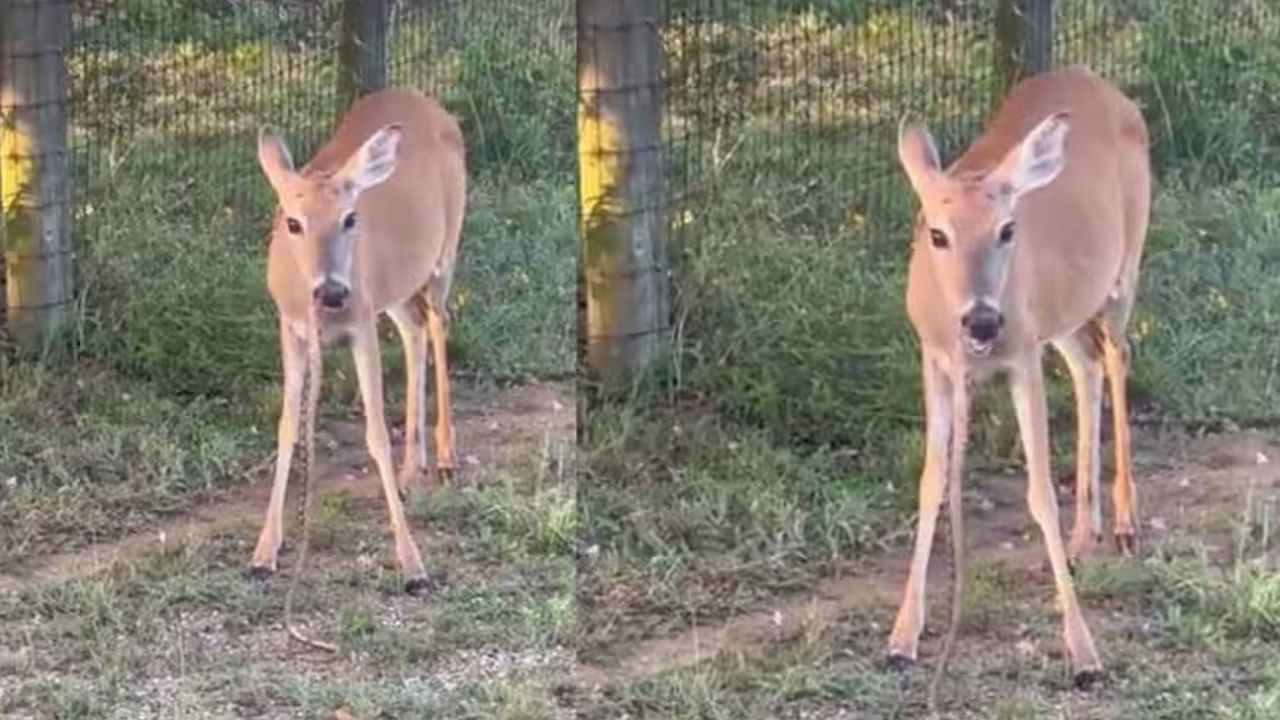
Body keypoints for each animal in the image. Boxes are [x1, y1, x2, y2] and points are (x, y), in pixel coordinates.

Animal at [244, 87, 465, 597]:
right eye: (292, 222)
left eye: (349, 218)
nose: (332, 291)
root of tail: (430, 103)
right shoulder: (291, 327)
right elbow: (288, 428)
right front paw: (264, 552)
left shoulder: (361, 323)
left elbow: (377, 433)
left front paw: (413, 565)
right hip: (395, 287)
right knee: (414, 329)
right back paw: (410, 470)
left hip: (444, 252)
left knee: (439, 323)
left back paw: (444, 457)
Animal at [890, 67, 1152, 696]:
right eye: (937, 233)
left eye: (1008, 229)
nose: (984, 319)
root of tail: (1102, 83)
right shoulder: (935, 358)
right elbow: (931, 483)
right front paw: (903, 637)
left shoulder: (1021, 357)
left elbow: (1039, 494)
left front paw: (1084, 653)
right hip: (1063, 313)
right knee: (1088, 364)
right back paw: (1085, 538)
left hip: (1123, 268)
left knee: (1119, 355)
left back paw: (1124, 525)